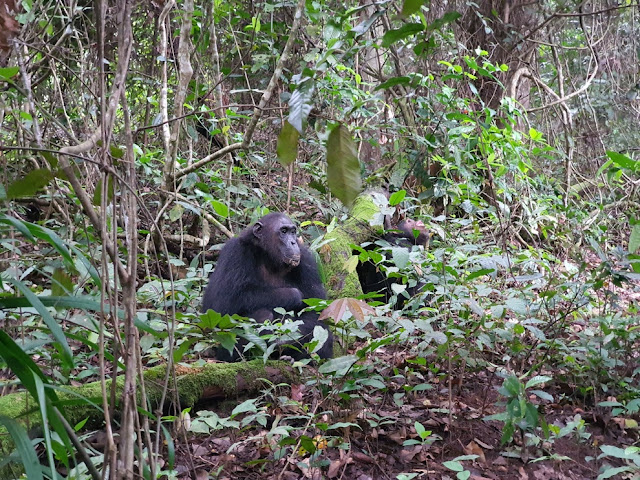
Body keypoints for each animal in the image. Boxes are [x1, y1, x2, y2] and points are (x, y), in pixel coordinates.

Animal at [202, 214, 336, 360]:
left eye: (292, 232)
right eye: (283, 231)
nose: (293, 242)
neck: (269, 259)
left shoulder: (307, 262)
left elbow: (315, 313)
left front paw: (284, 340)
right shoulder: (234, 252)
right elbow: (222, 304)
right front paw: (294, 295)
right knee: (263, 314)